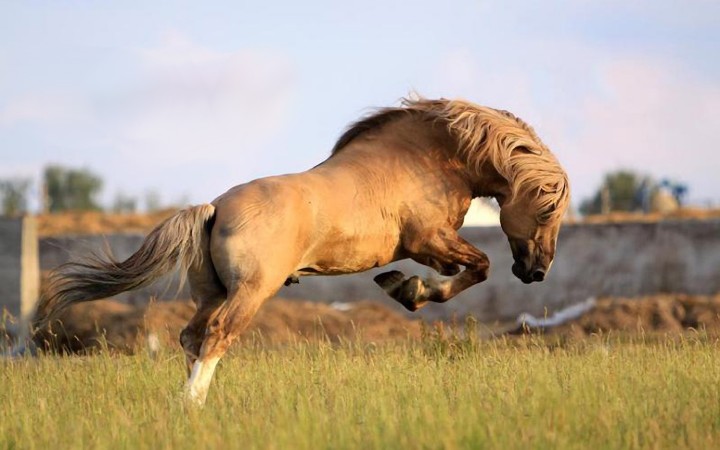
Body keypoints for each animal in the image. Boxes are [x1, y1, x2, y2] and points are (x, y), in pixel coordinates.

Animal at [33, 97, 572, 404]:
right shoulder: (428, 242)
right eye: (548, 209)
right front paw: (409, 289)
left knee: (191, 336)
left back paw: (191, 401)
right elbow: (476, 268)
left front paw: (400, 285)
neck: (426, 160)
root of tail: (215, 208)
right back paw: (191, 403)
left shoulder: (433, 245)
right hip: (250, 293)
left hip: (211, 293)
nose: (538, 271)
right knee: (218, 335)